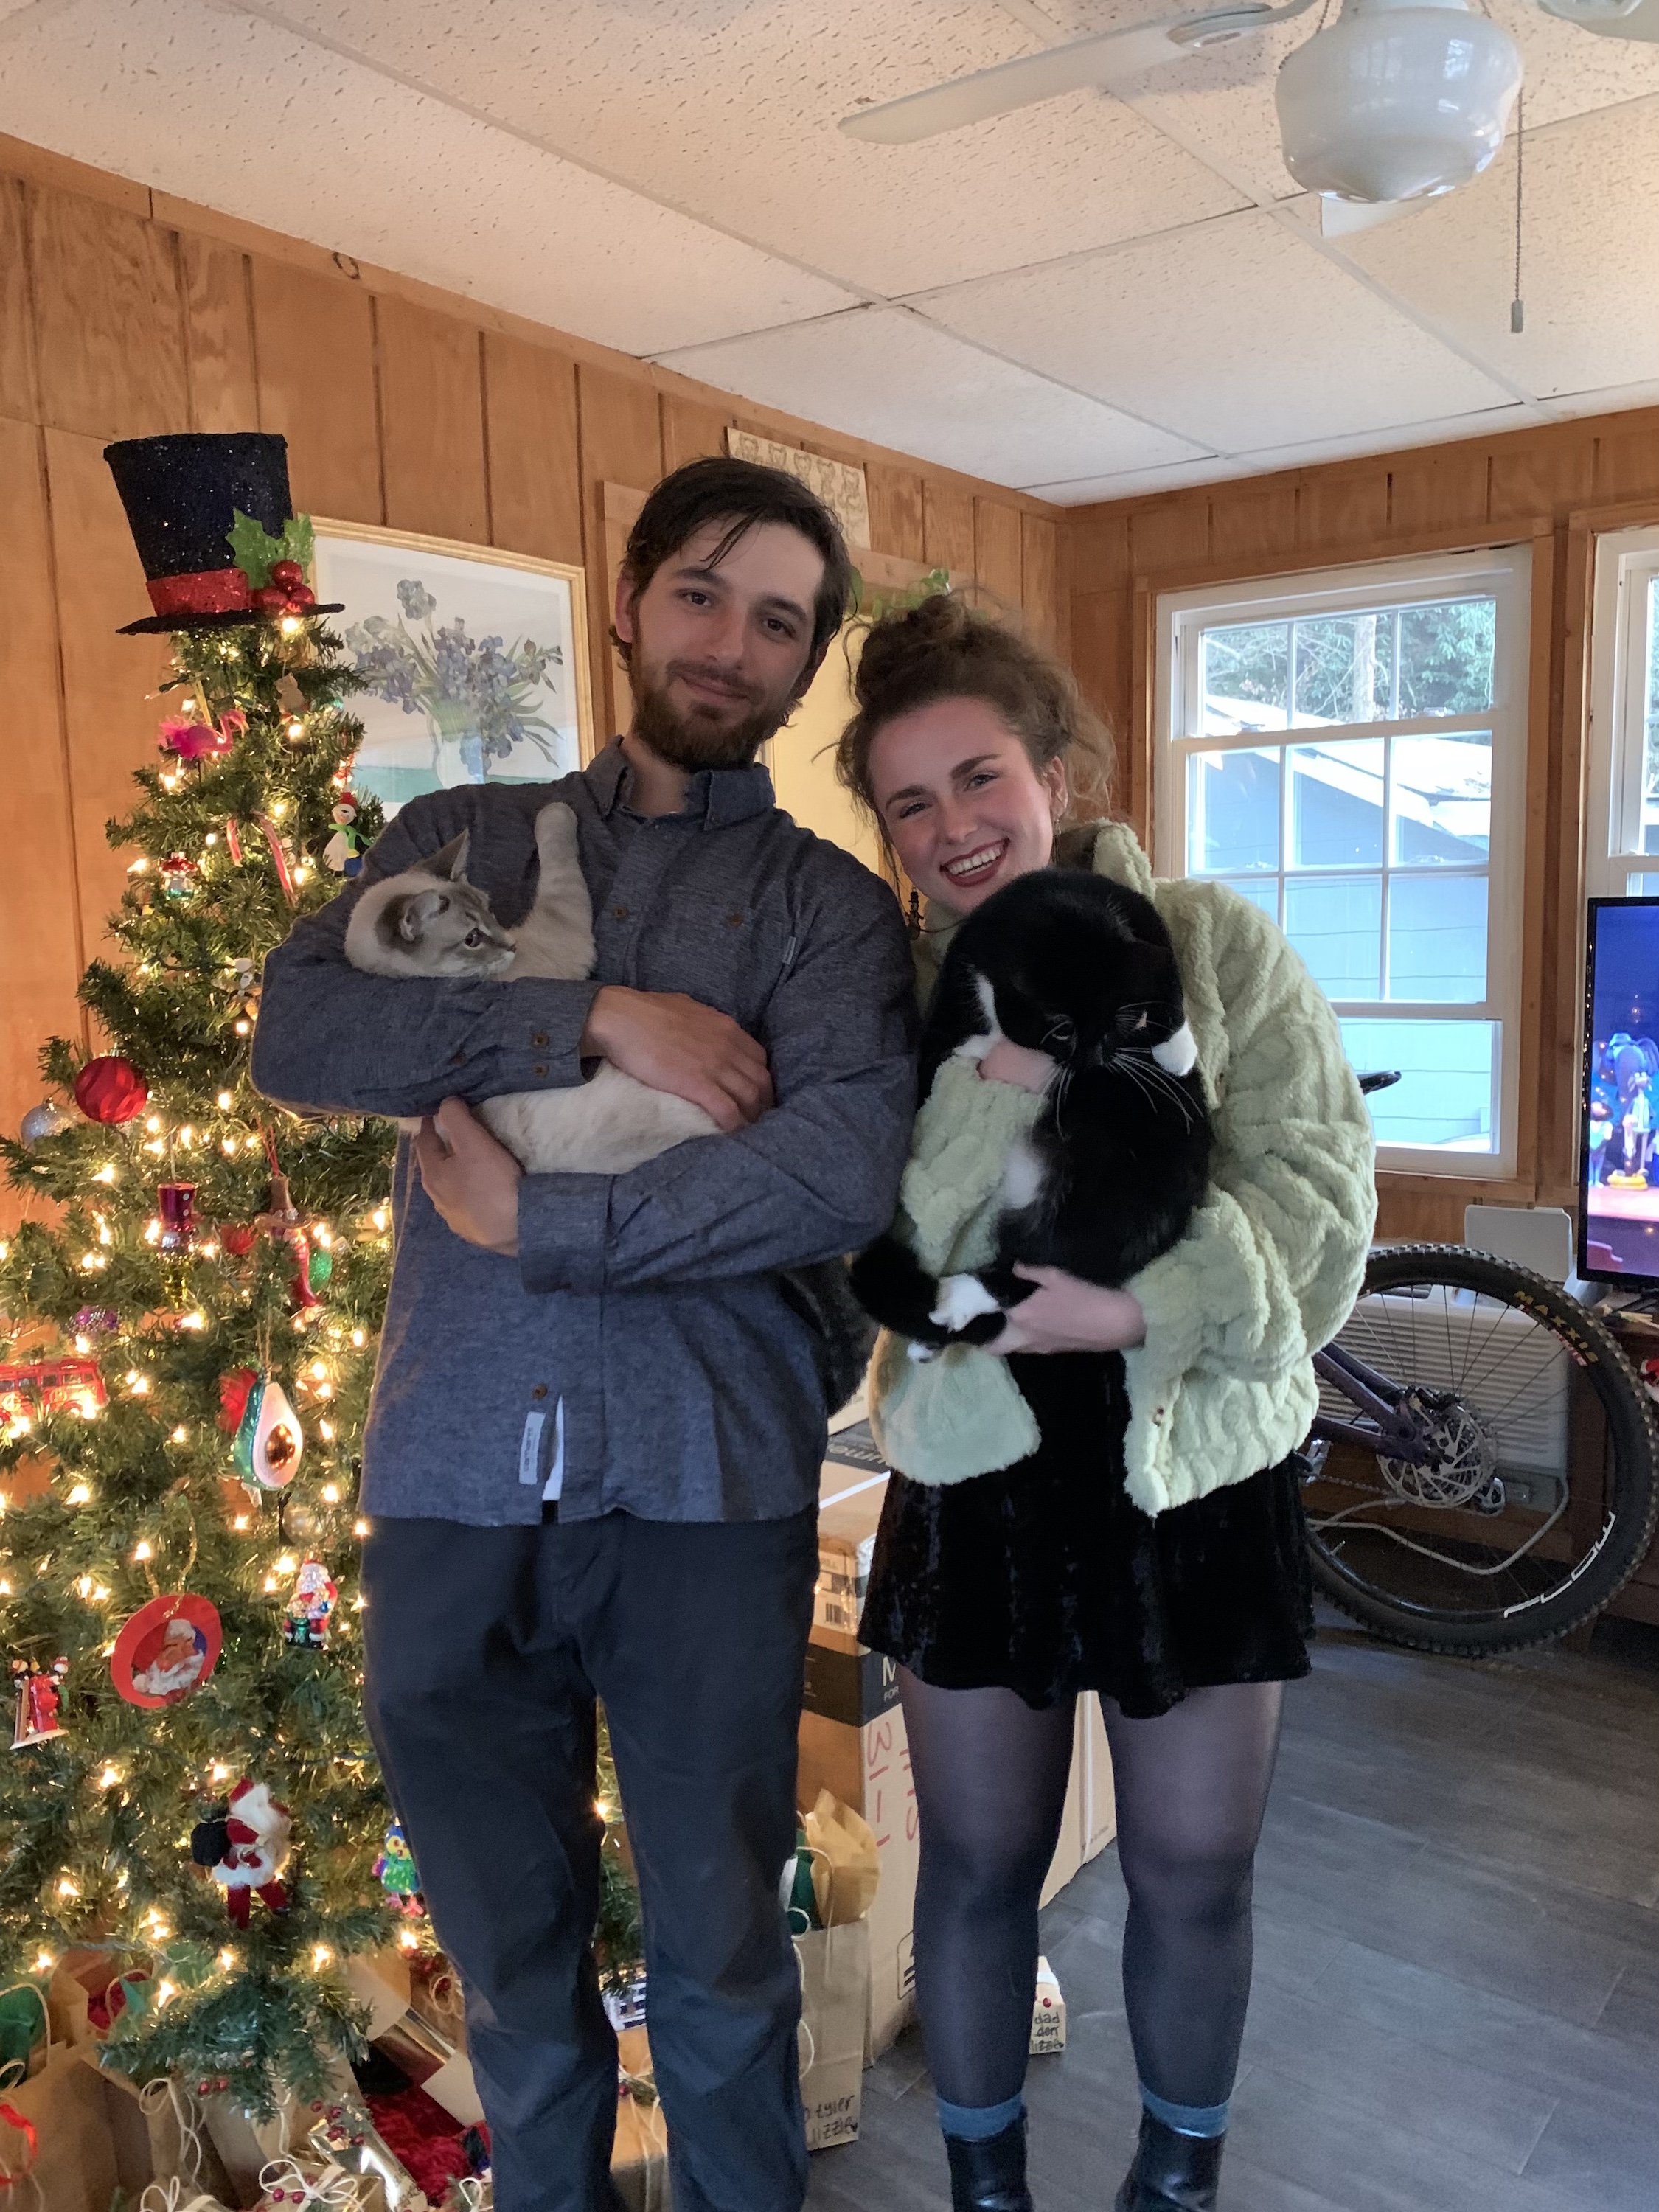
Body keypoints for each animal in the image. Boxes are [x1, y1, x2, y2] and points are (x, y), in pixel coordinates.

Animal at [345, 801, 721, 1177]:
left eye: (490, 909)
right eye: (472, 939)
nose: (511, 945)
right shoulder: (564, 928)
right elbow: (558, 856)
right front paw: (557, 809)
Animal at [849, 867, 1212, 1354]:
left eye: (1117, 1022)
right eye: (1061, 1029)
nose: (1093, 1061)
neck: (1052, 900)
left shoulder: (1141, 917)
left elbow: (1166, 971)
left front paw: (1176, 1049)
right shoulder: (958, 975)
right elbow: (938, 1051)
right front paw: (974, 1045)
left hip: (1111, 1195)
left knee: (1046, 1266)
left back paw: (955, 1301)